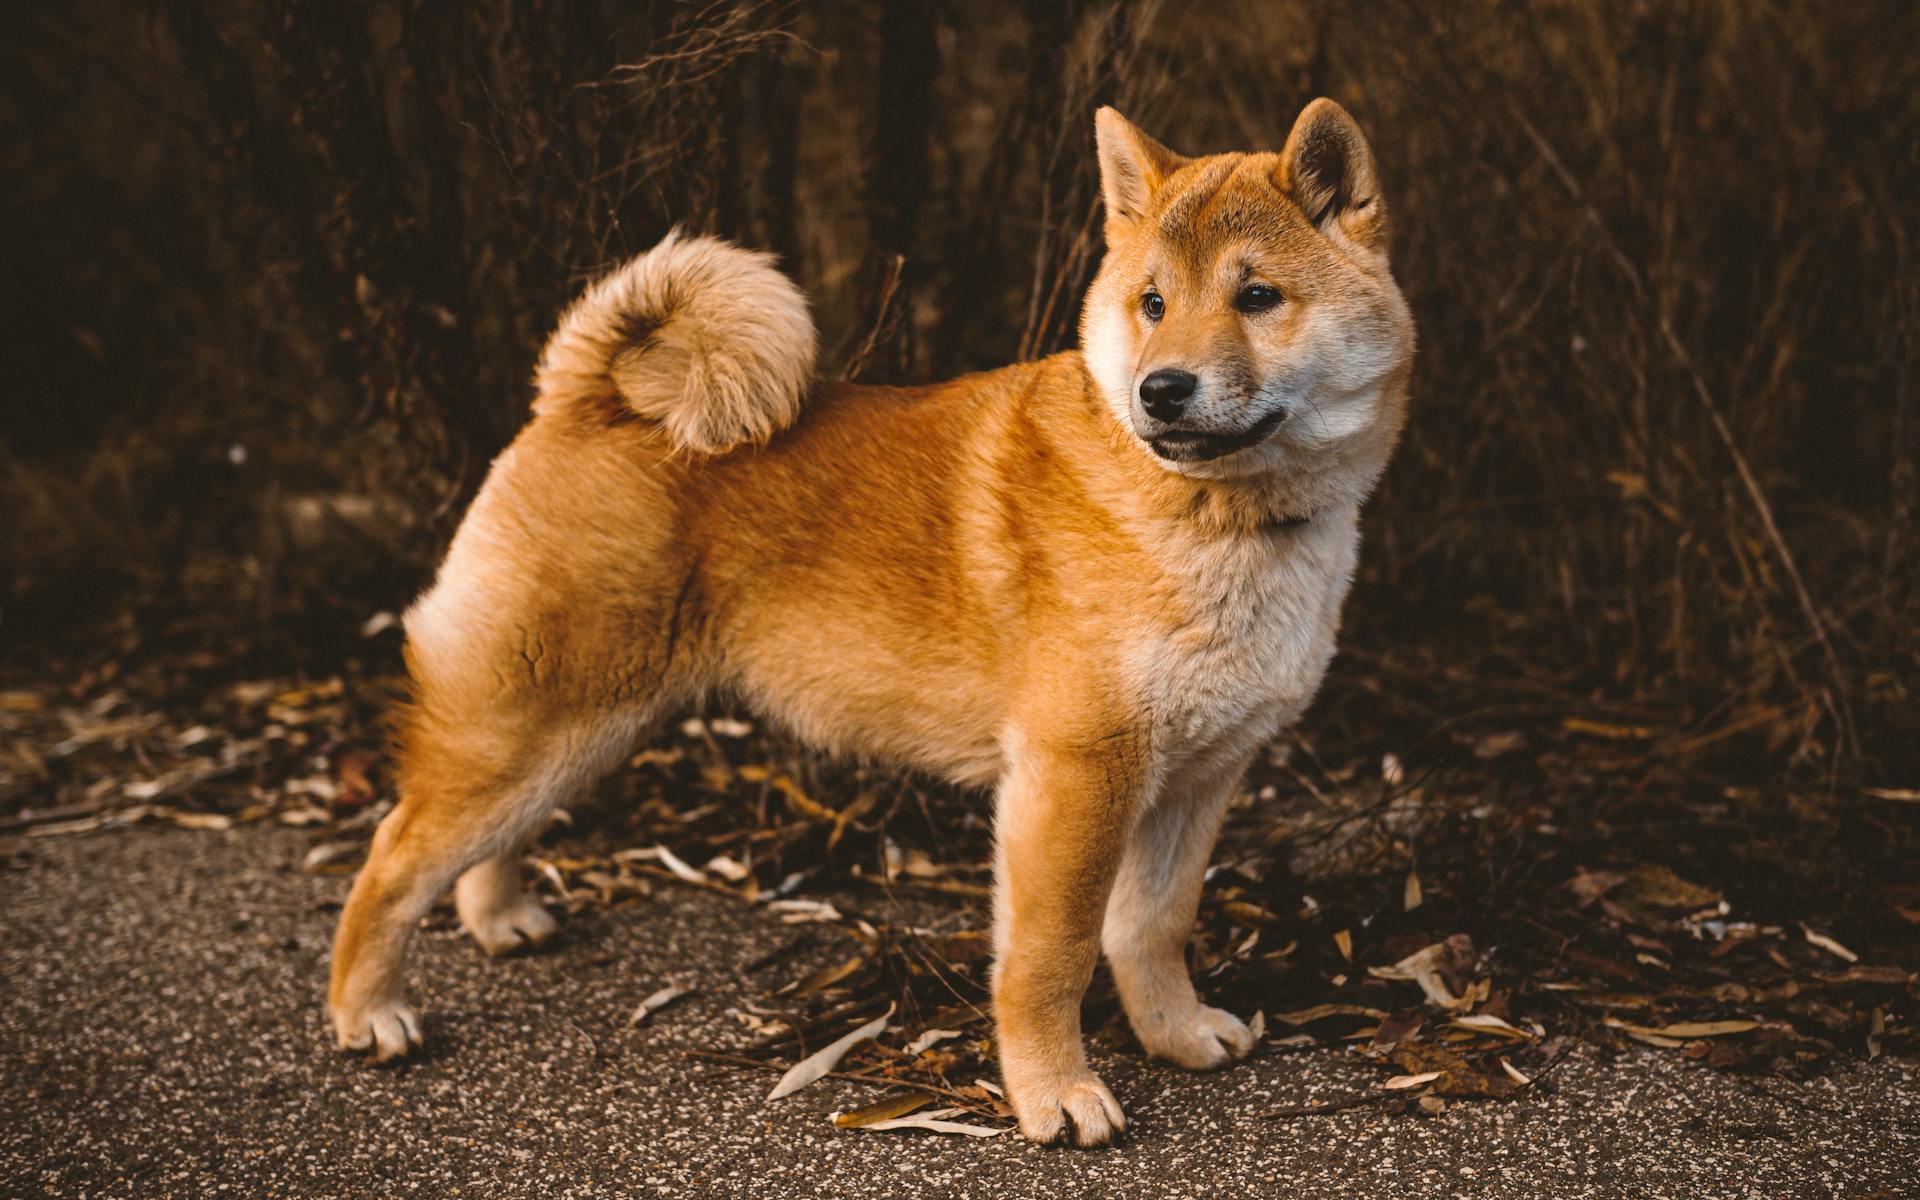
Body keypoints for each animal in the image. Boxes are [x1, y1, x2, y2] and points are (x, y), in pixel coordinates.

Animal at [326, 98, 1413, 1144]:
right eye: (1152, 304)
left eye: (1257, 297)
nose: (1162, 389)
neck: (1215, 522)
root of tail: (587, 397)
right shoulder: (1076, 775)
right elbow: (1053, 956)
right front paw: (1055, 1095)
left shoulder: (1198, 775)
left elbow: (1154, 925)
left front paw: (1175, 1035)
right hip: (536, 721)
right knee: (394, 855)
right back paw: (367, 1011)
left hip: (584, 729)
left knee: (484, 841)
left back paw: (500, 917)